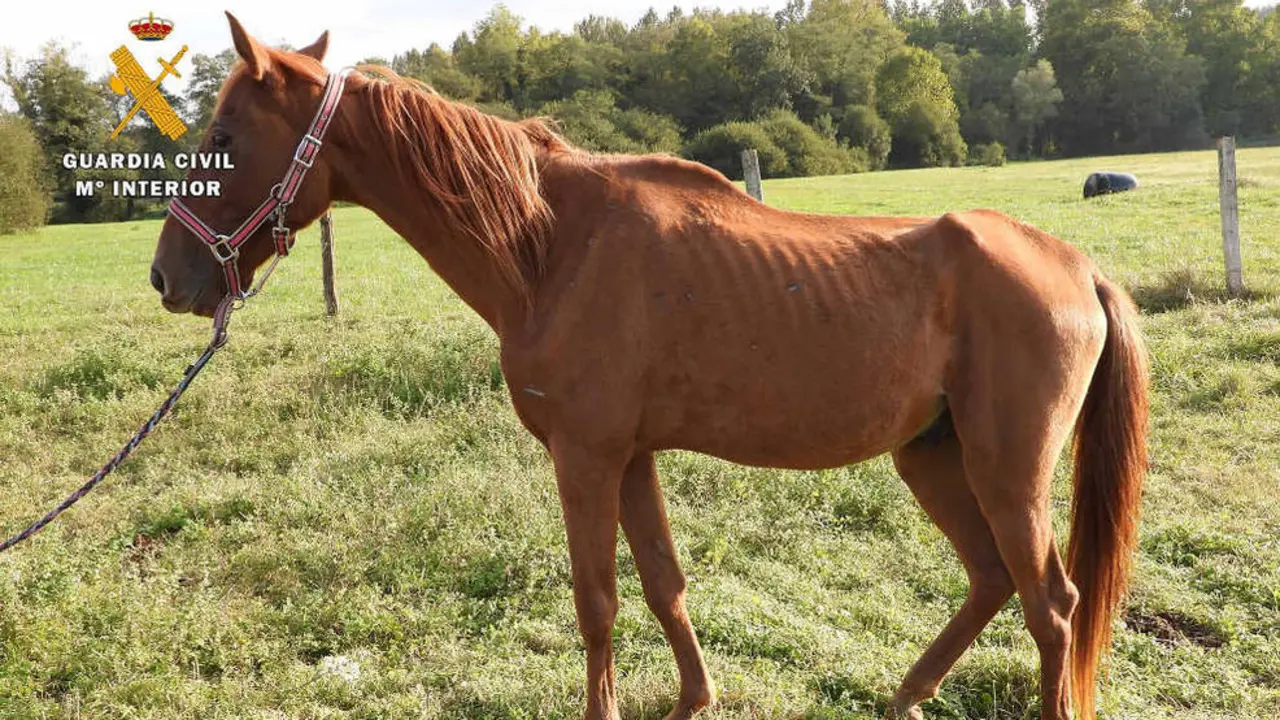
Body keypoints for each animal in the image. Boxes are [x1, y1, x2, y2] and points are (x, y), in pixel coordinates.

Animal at [150, 14, 1148, 720]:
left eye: (222, 139)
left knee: (1051, 602)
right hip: (931, 455)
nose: (168, 276)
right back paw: (906, 695)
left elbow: (596, 600)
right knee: (992, 579)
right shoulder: (631, 457)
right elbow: (664, 585)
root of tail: (1076, 266)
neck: (550, 247)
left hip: (1005, 469)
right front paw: (691, 702)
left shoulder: (585, 457)